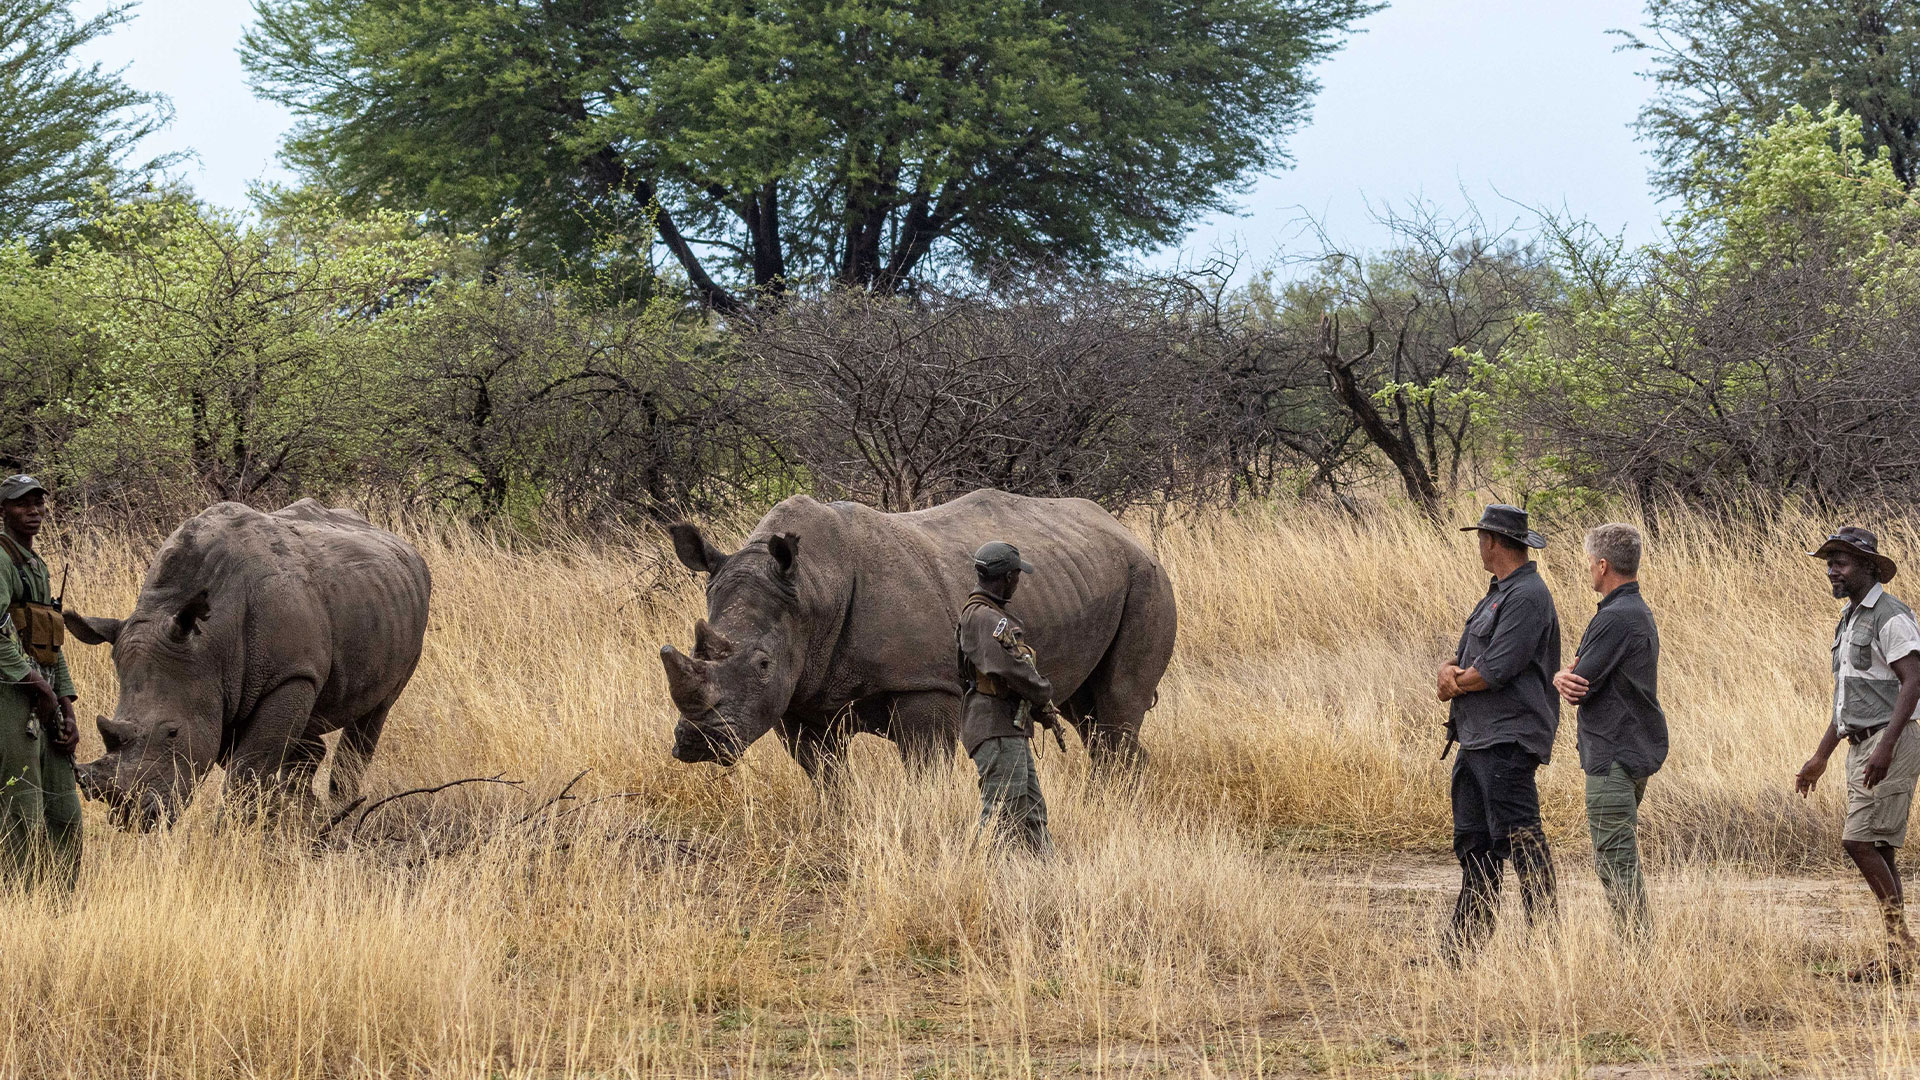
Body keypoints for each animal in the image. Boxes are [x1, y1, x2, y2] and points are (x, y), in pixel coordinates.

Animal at [63, 500, 431, 829]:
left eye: (172, 733)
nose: (132, 818)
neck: (210, 643)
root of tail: (403, 546)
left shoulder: (288, 675)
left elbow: (248, 766)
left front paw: (232, 833)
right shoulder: (220, 687)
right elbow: (249, 759)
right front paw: (274, 816)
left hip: (410, 612)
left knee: (375, 712)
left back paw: (340, 811)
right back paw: (307, 808)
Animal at [660, 489, 1177, 777]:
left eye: (763, 664)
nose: (698, 743)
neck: (811, 587)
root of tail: (1124, 531)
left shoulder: (923, 685)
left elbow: (924, 770)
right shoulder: (798, 693)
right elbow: (825, 777)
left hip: (1148, 579)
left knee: (1116, 708)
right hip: (1089, 577)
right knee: (1085, 712)